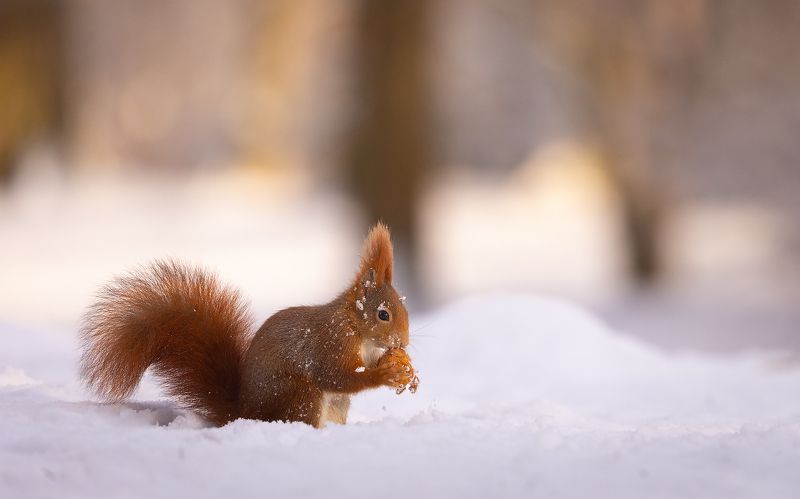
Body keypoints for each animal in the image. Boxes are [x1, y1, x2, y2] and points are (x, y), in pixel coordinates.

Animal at [79, 223, 417, 428]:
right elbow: (337, 376)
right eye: (383, 314)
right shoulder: (331, 343)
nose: (403, 342)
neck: (357, 329)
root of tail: (245, 414)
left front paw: (406, 371)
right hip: (300, 396)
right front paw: (386, 374)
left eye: (405, 307)